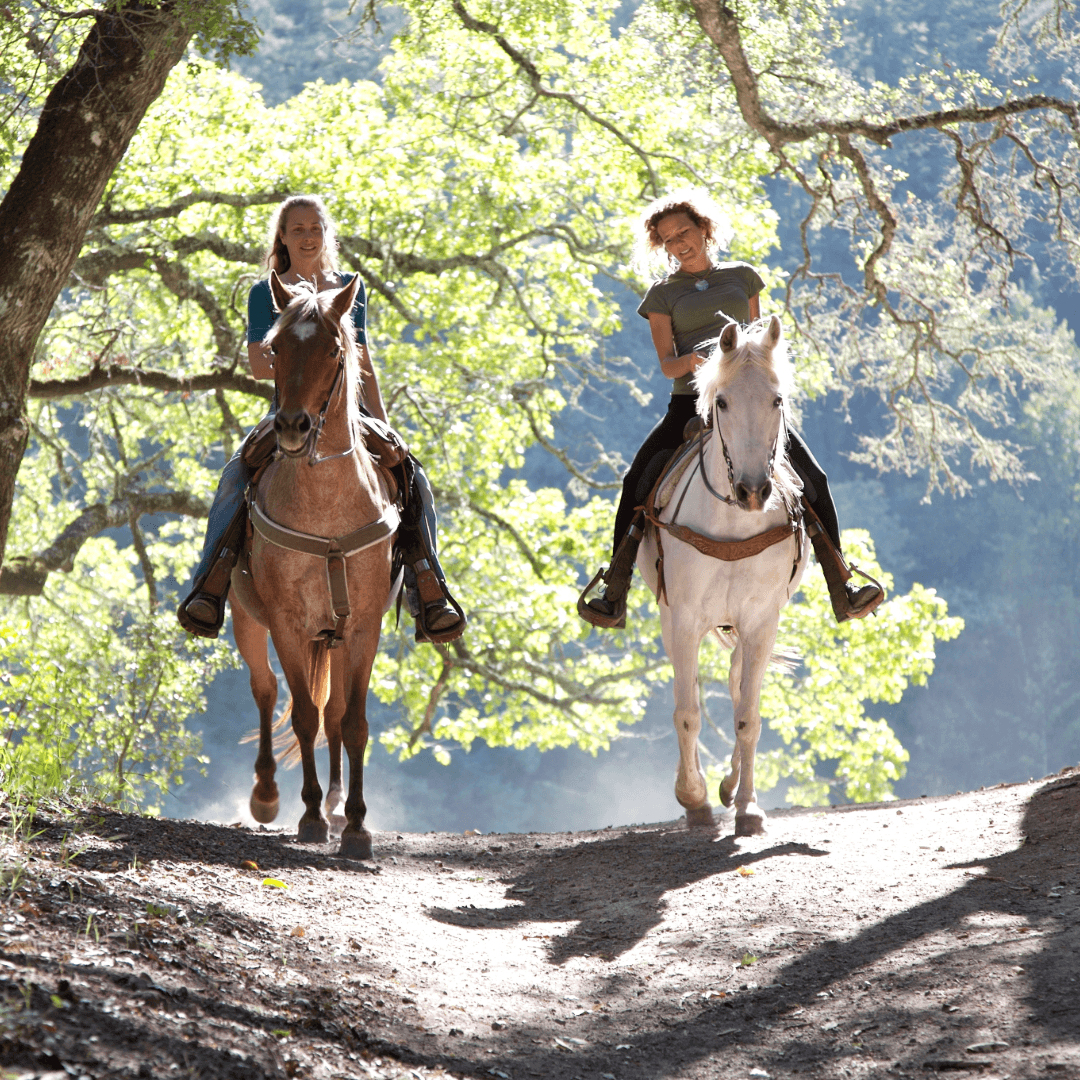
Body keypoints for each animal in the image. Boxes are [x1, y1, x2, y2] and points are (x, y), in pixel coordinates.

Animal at [228, 271, 398, 860]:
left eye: (333, 349)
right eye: (276, 349)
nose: (293, 428)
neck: (326, 510)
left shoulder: (364, 626)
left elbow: (354, 722)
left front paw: (356, 828)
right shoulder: (287, 623)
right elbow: (301, 715)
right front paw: (308, 818)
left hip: (336, 637)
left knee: (335, 714)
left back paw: (337, 802)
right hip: (247, 620)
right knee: (265, 691)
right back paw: (267, 795)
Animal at [638, 315, 809, 837]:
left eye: (777, 400)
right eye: (723, 401)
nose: (753, 491)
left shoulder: (761, 622)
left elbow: (748, 715)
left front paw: (748, 807)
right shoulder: (683, 618)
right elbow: (688, 713)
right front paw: (692, 800)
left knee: (735, 686)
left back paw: (731, 787)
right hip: (672, 620)